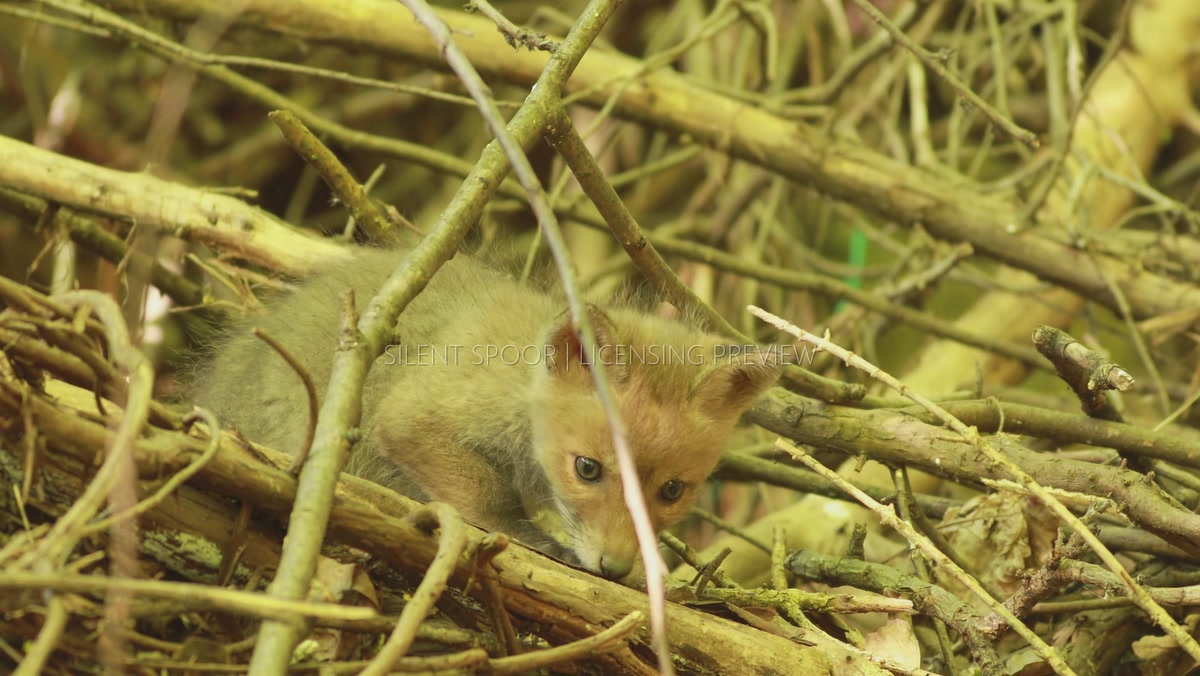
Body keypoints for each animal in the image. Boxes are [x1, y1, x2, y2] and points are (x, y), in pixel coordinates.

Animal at [192, 245, 783, 580]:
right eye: (587, 469)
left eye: (672, 491)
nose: (614, 569)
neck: (519, 388)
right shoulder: (411, 415)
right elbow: (486, 495)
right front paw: (528, 538)